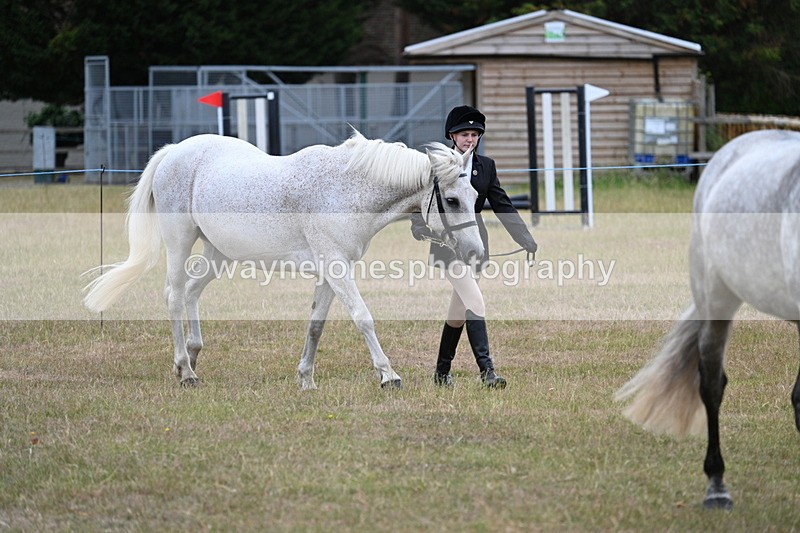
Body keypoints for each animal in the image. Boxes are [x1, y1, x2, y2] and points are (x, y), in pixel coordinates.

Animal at [83, 131, 484, 389]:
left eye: (475, 194)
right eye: (451, 200)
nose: (475, 253)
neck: (346, 190)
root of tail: (174, 151)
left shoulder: (330, 269)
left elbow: (315, 325)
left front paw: (306, 378)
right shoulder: (336, 266)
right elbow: (362, 317)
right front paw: (388, 375)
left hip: (218, 252)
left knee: (192, 292)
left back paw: (192, 358)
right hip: (179, 241)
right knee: (174, 295)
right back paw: (186, 369)